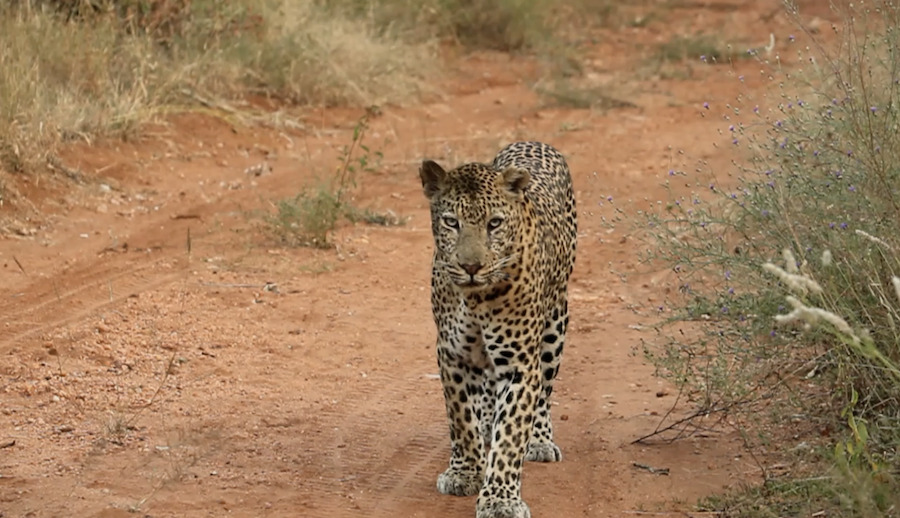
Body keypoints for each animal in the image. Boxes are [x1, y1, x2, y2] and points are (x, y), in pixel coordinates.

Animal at [419, 141, 577, 518]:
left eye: (494, 224)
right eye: (452, 222)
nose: (471, 266)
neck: (476, 296)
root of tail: (533, 142)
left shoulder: (519, 363)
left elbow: (511, 434)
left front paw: (500, 499)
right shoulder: (453, 356)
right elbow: (461, 418)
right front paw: (464, 473)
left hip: (555, 325)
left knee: (543, 393)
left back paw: (539, 440)